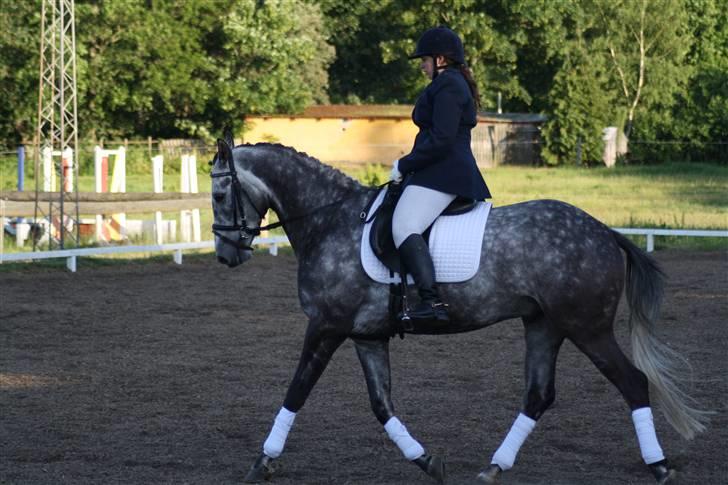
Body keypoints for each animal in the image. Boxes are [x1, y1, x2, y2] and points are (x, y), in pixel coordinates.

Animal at [209, 134, 704, 482]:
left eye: (217, 196)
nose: (226, 256)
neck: (329, 220)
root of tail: (606, 231)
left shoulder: (325, 326)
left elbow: (296, 391)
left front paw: (263, 462)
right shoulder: (366, 335)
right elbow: (381, 404)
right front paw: (426, 460)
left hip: (588, 327)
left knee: (632, 381)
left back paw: (659, 466)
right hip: (544, 325)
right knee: (539, 395)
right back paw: (494, 468)